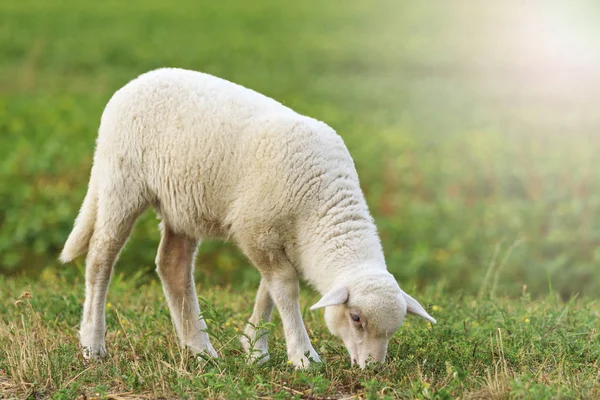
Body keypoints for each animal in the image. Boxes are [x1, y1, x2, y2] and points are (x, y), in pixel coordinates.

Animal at [61, 68, 436, 368]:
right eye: (356, 318)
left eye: (394, 329)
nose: (373, 368)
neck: (321, 207)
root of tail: (135, 82)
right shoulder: (256, 230)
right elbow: (284, 286)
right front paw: (302, 356)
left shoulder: (277, 237)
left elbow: (269, 288)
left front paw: (255, 348)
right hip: (121, 182)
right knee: (101, 257)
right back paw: (92, 343)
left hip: (182, 204)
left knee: (172, 265)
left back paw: (199, 349)